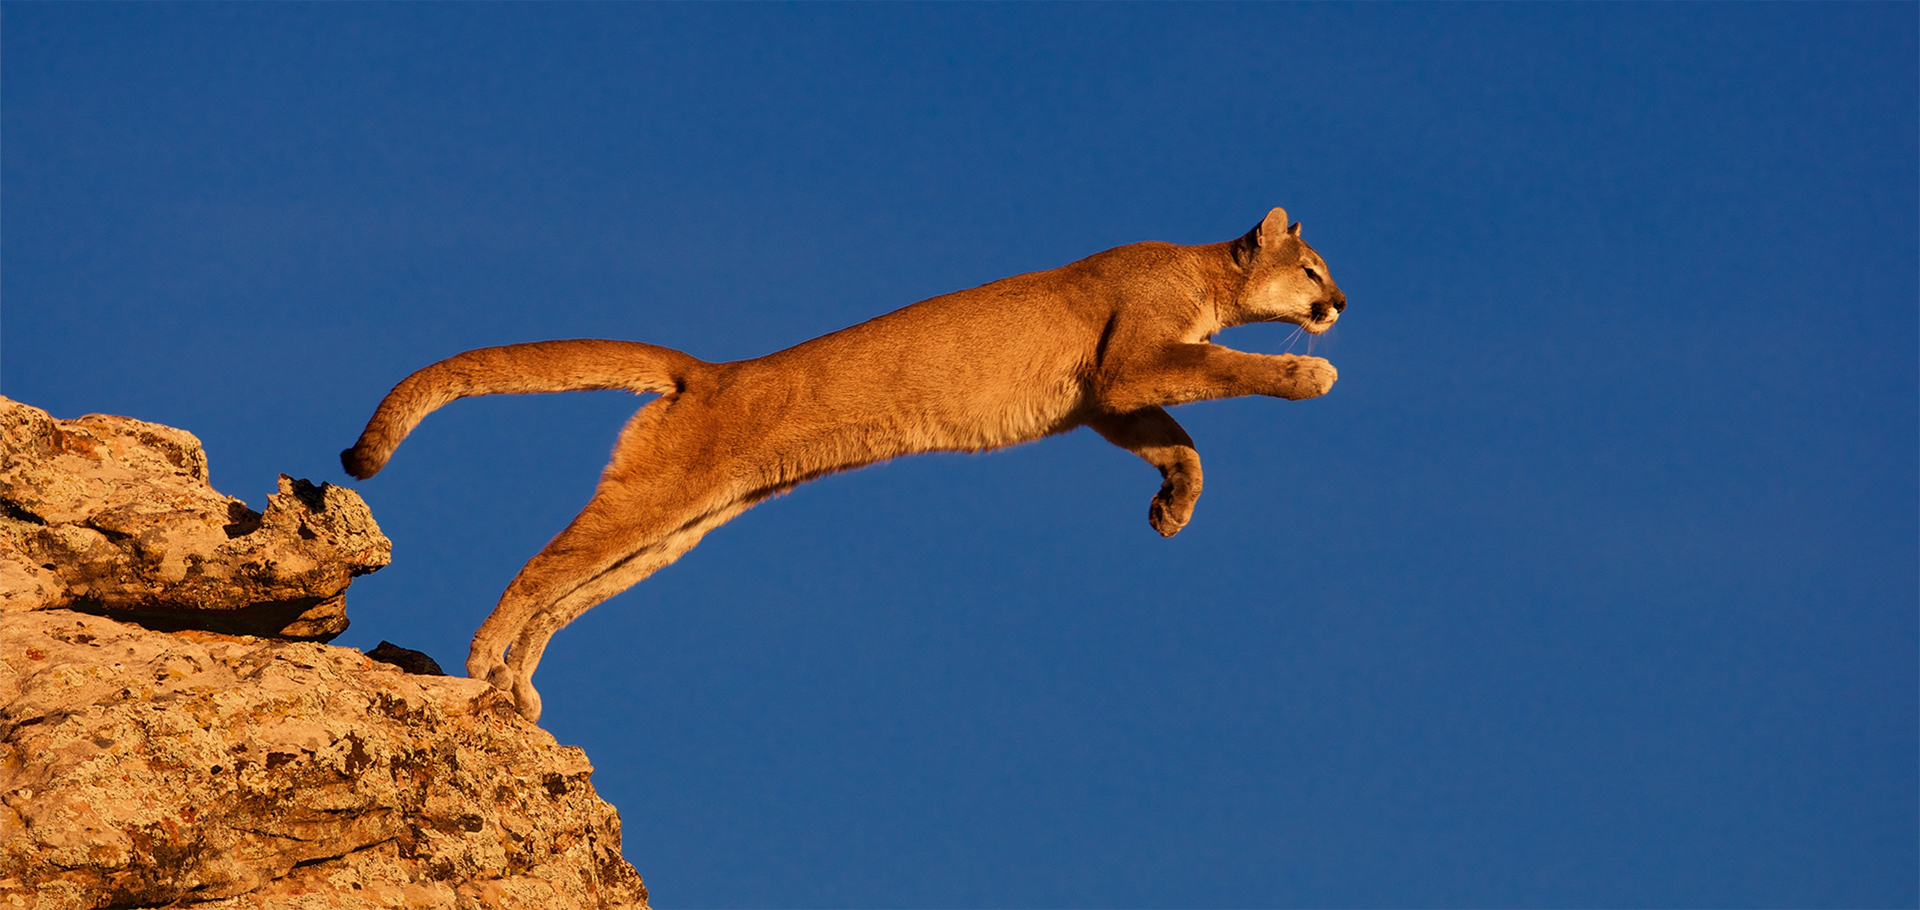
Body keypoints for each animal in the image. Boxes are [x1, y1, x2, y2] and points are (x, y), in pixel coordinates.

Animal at [343, 207, 1346, 721]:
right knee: (541, 566)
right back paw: (482, 665)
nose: (1339, 302)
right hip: (660, 500)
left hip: (678, 527)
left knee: (567, 593)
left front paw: (1174, 505)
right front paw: (1307, 372)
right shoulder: (1130, 360)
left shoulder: (1105, 397)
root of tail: (715, 371)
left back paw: (518, 686)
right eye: (1313, 269)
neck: (1204, 275)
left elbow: (1180, 438)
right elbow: (1227, 371)